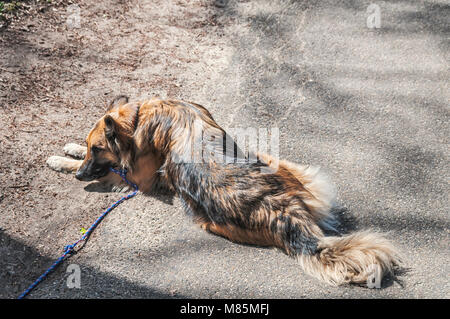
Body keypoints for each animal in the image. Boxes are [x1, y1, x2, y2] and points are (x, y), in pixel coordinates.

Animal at [47, 95, 400, 288]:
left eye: (98, 149)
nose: (80, 175)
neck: (138, 116)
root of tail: (283, 209)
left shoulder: (138, 177)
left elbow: (112, 172)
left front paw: (62, 162)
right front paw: (69, 150)